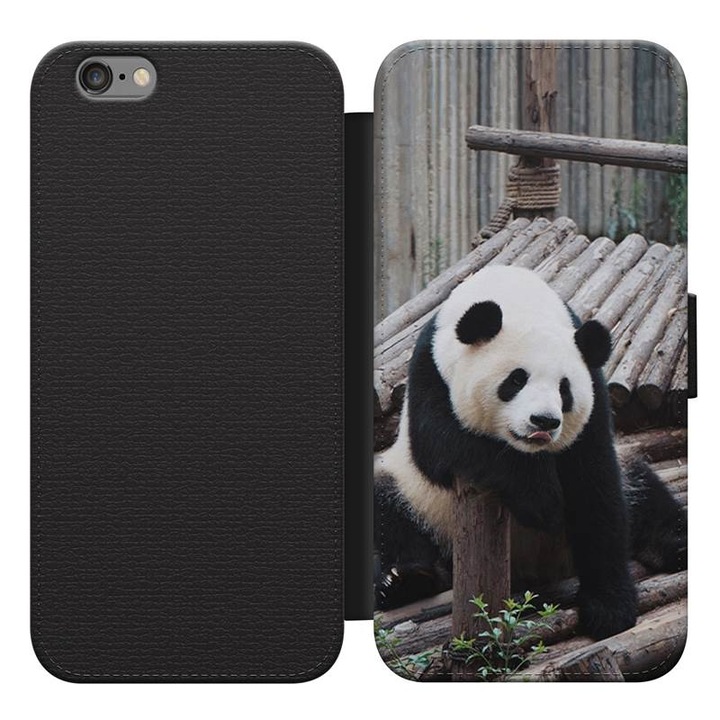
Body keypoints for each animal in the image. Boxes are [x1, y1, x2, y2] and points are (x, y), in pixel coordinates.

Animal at [374, 265, 687, 640]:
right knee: (387, 509)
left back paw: (676, 544)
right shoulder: (429, 370)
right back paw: (405, 580)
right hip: (420, 499)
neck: (513, 293)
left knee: (641, 488)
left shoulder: (594, 391)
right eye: (516, 380)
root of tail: (535, 570)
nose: (544, 421)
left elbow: (595, 483)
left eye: (564, 389)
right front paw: (540, 498)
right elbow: (442, 445)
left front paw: (610, 607)